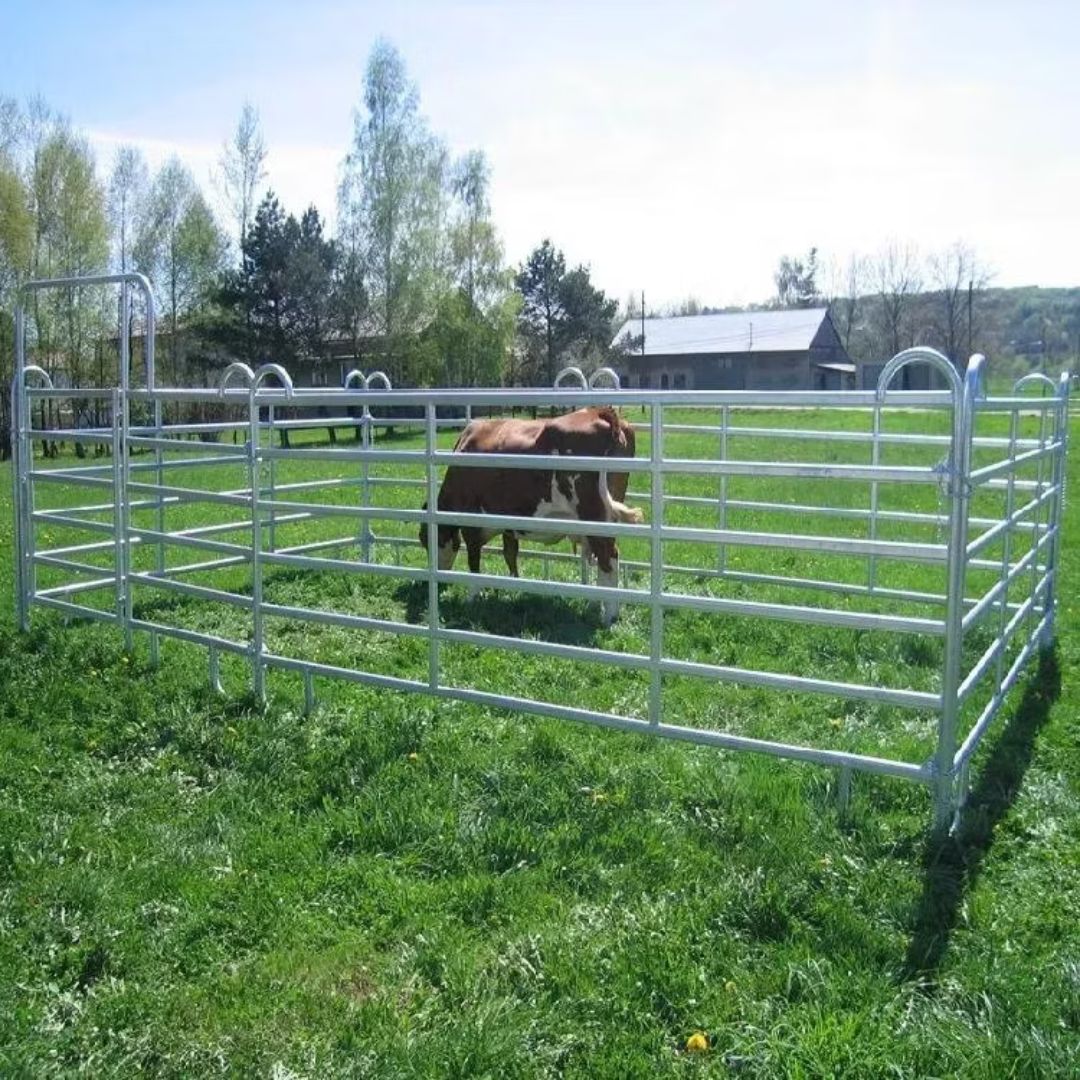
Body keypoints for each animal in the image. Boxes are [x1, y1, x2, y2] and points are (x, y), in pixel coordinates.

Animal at [419, 406, 643, 624]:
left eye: (425, 539)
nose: (435, 577)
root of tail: (598, 411)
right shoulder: (508, 524)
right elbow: (510, 555)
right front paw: (514, 586)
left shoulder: (471, 523)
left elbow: (474, 563)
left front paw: (471, 598)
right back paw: (595, 606)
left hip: (594, 517)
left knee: (609, 558)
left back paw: (609, 615)